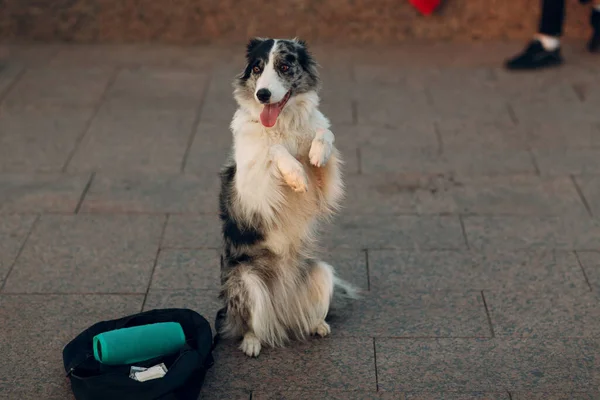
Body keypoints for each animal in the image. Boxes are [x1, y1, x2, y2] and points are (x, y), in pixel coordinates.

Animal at [217, 37, 354, 356]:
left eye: (284, 66)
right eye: (257, 68)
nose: (262, 94)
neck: (282, 124)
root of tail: (281, 308)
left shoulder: (324, 188)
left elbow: (324, 133)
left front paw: (317, 153)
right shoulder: (251, 191)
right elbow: (273, 149)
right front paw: (295, 174)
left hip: (321, 272)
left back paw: (316, 324)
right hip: (246, 281)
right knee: (250, 323)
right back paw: (252, 342)